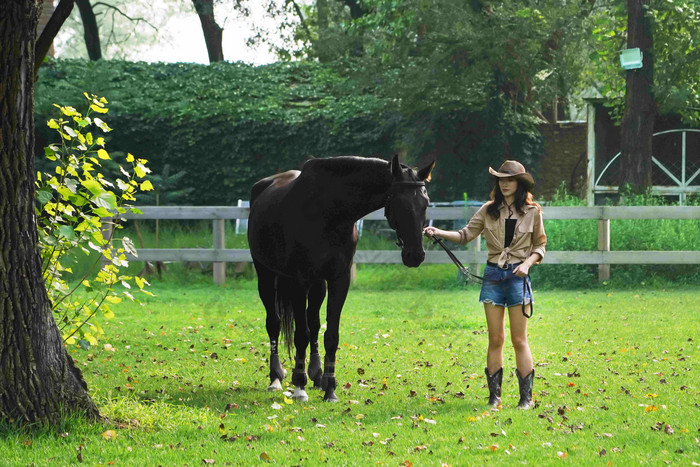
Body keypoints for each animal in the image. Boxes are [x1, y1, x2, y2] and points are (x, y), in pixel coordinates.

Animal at [246, 156, 432, 402]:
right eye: (399, 202)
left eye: (425, 203)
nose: (415, 255)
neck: (329, 212)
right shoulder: (299, 281)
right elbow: (301, 335)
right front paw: (299, 386)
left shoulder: (338, 280)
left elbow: (330, 335)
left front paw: (330, 388)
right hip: (266, 276)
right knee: (274, 323)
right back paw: (276, 377)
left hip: (317, 285)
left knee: (314, 323)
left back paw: (316, 375)